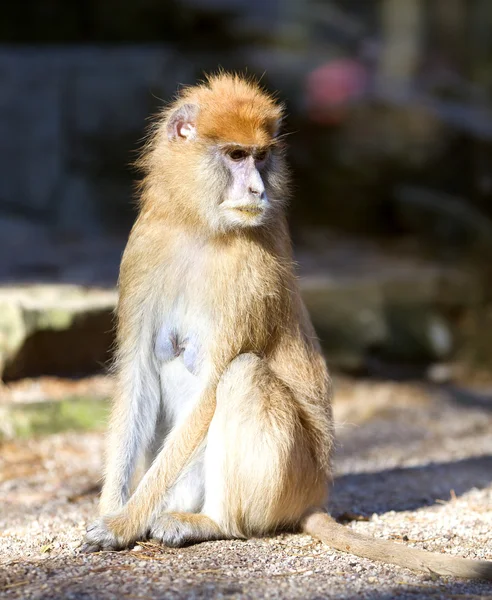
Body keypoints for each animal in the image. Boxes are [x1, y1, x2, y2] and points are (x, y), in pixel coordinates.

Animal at [80, 71, 492, 580]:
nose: (258, 190)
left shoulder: (250, 272)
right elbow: (138, 373)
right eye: (236, 155)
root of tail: (312, 495)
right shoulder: (143, 248)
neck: (200, 227)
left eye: (262, 157)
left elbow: (213, 386)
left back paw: (214, 522)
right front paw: (112, 510)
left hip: (289, 478)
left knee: (242, 375)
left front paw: (122, 524)